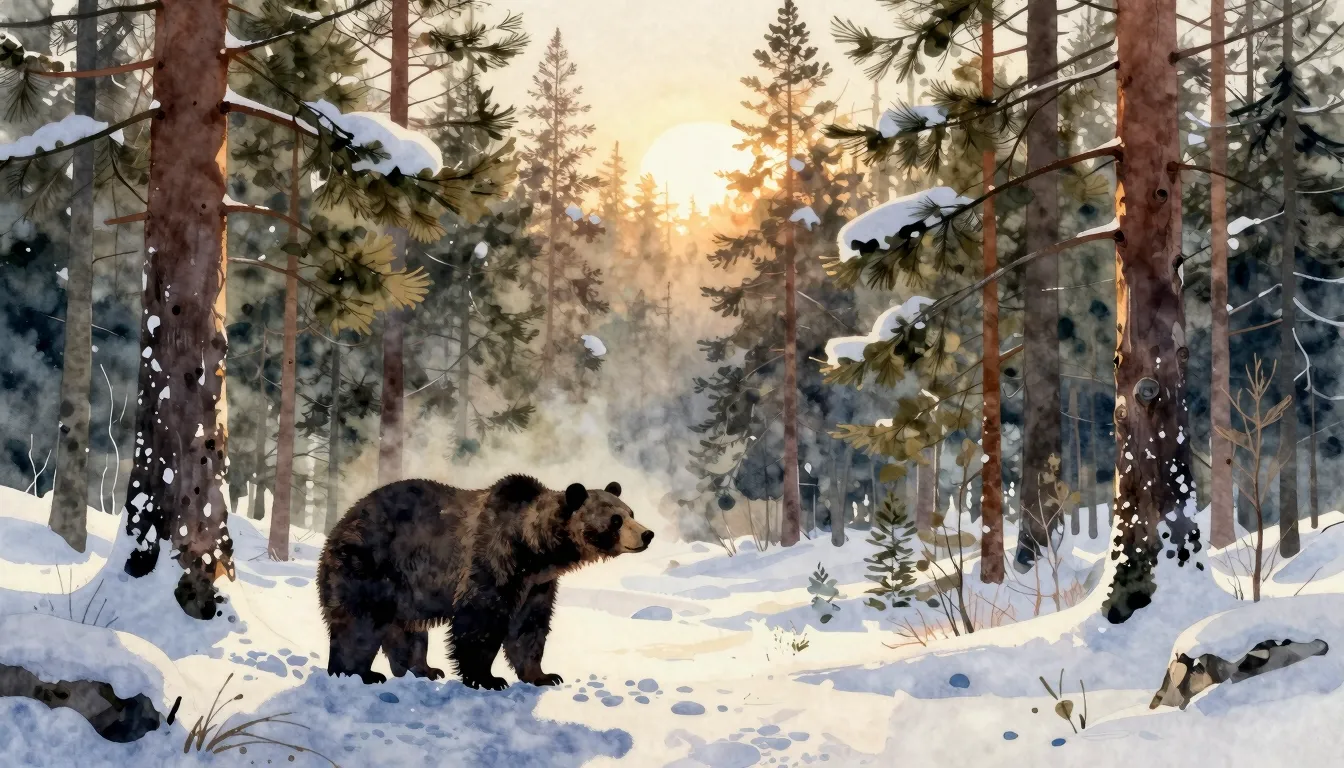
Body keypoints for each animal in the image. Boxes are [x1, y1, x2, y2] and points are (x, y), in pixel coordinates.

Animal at [316, 474, 653, 690]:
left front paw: (543, 675)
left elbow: (529, 627)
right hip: (370, 566)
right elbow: (480, 619)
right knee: (360, 626)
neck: (534, 551)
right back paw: (357, 673)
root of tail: (341, 524)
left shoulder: (537, 585)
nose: (647, 534)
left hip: (409, 592)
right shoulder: (492, 559)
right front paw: (489, 679)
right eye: (616, 520)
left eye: (631, 512)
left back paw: (423, 670)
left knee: (408, 633)